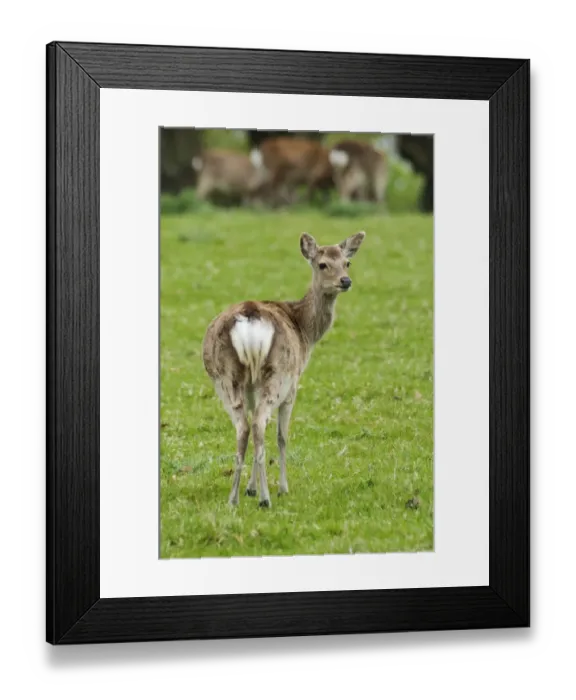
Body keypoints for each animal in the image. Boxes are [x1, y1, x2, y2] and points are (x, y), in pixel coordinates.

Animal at [202, 230, 366, 508]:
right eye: (322, 264)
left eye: (347, 262)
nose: (345, 281)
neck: (305, 332)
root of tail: (249, 319)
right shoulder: (294, 383)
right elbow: (281, 436)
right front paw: (281, 488)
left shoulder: (251, 388)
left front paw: (250, 488)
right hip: (278, 374)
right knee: (258, 423)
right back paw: (266, 499)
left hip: (226, 378)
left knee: (245, 427)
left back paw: (234, 498)